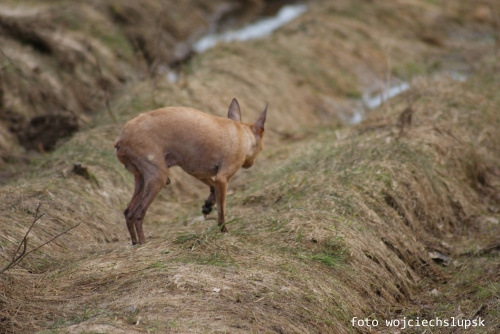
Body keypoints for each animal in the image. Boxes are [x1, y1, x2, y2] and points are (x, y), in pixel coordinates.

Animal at [114, 98, 268, 244]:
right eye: (261, 147)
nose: (250, 164)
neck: (241, 132)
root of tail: (121, 137)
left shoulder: (198, 172)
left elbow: (212, 187)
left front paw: (208, 205)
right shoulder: (222, 178)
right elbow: (221, 211)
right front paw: (224, 230)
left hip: (141, 180)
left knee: (129, 212)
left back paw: (135, 242)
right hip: (157, 179)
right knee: (139, 214)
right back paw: (143, 242)